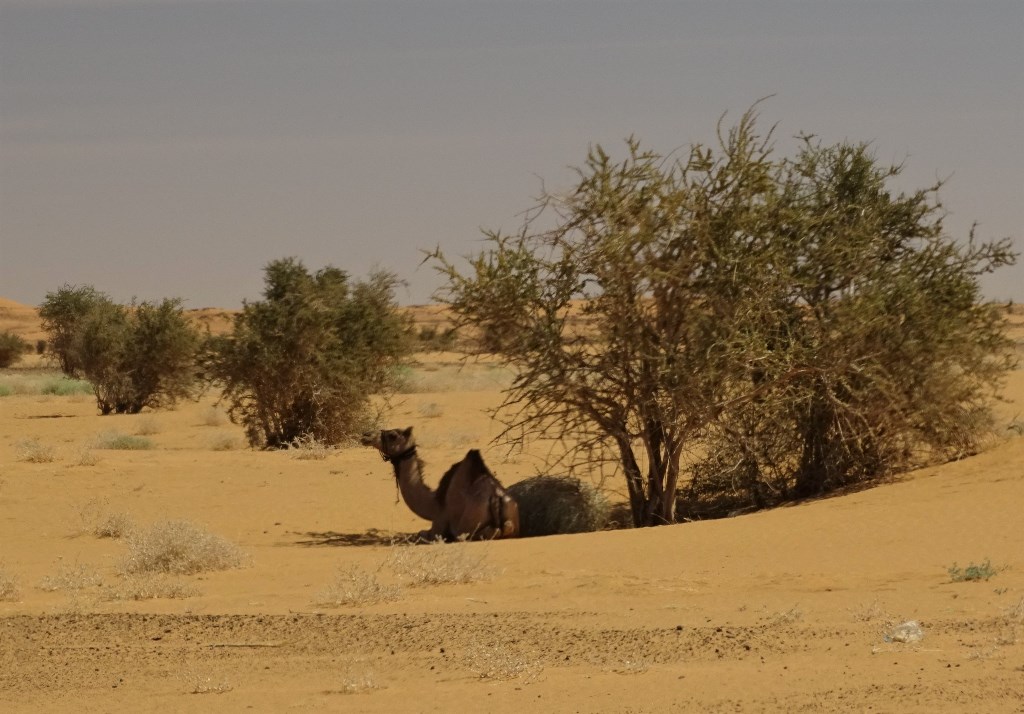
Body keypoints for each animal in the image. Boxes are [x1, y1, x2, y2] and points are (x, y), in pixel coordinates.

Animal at [362, 424, 520, 540]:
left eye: (393, 436)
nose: (366, 435)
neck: (434, 504)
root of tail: (496, 497)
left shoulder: (438, 524)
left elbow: (422, 533)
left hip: (466, 527)